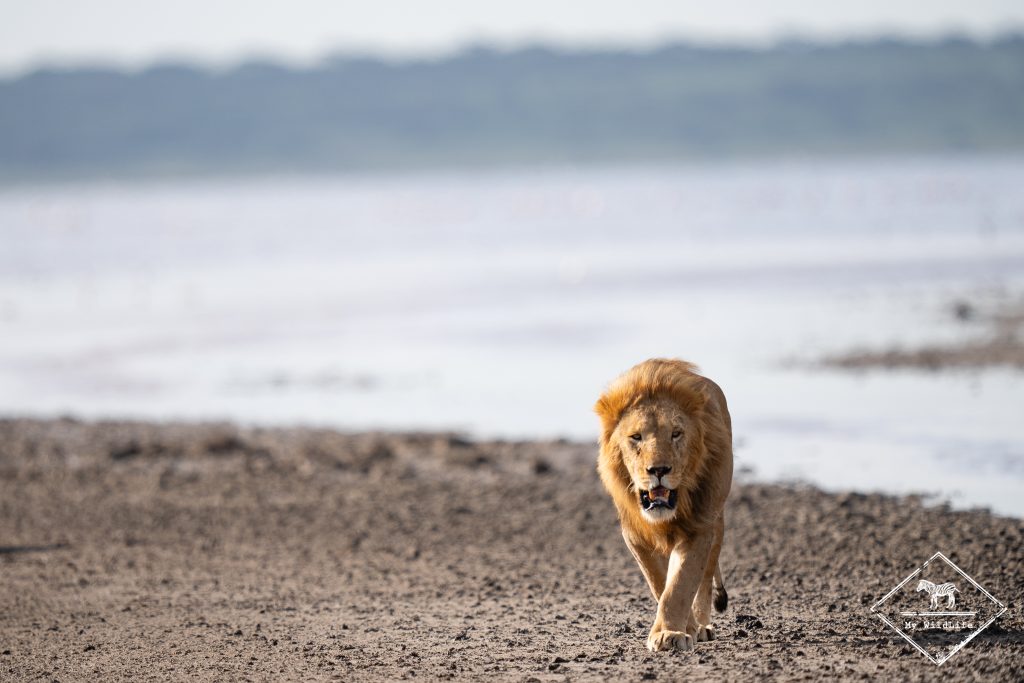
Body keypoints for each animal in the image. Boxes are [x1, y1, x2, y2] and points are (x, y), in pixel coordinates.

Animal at [594, 358, 733, 652]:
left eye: (676, 434)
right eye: (636, 437)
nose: (658, 469)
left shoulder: (700, 525)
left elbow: (681, 583)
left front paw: (671, 634)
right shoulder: (634, 534)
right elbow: (660, 583)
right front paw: (681, 628)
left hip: (717, 520)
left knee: (705, 580)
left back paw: (703, 626)